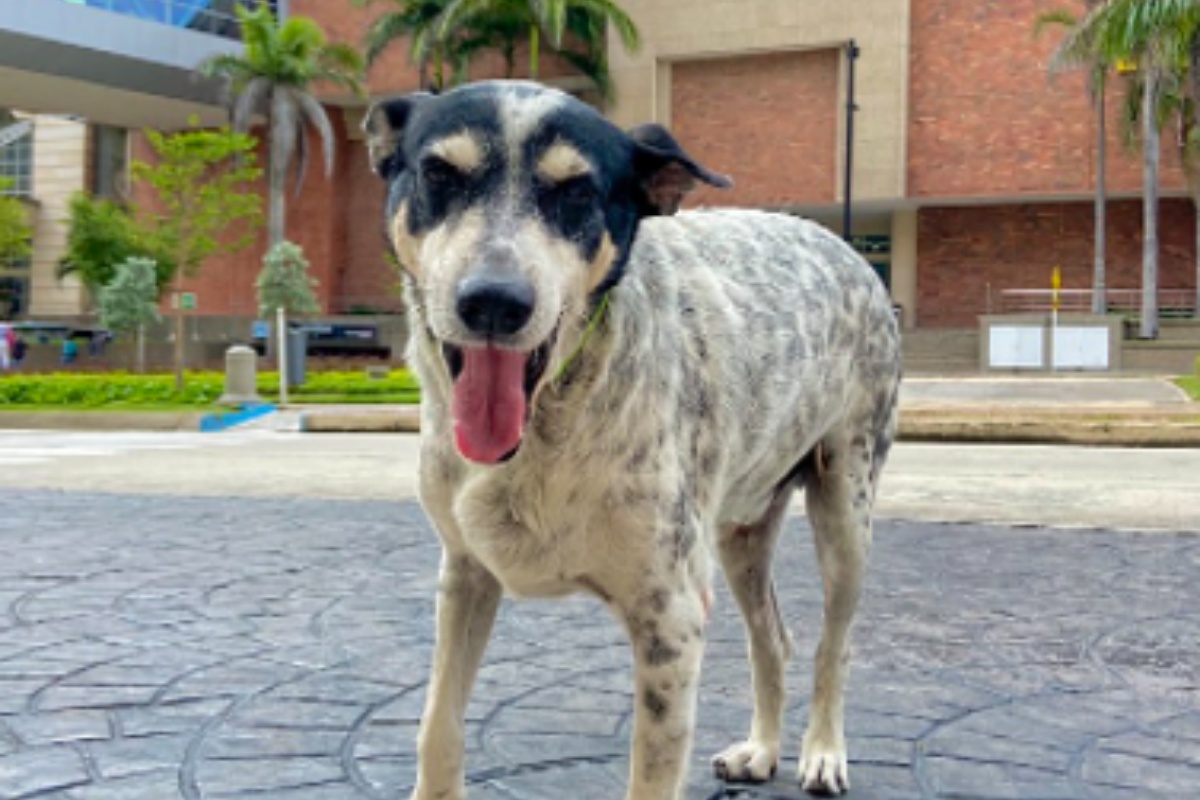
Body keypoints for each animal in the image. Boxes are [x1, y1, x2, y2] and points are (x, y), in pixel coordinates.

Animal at [362, 77, 902, 796]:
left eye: (578, 193)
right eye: (439, 174)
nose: (494, 302)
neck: (550, 420)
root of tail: (843, 246)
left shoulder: (670, 619)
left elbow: (651, 773)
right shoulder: (465, 576)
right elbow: (437, 725)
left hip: (846, 510)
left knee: (831, 646)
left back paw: (822, 752)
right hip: (738, 538)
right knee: (773, 639)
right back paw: (760, 750)